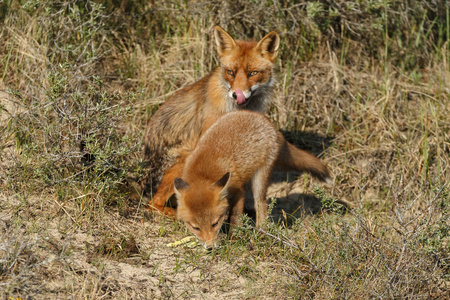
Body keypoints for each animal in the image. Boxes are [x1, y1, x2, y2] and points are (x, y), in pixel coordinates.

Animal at [172, 111, 326, 250]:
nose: (210, 248)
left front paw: (233, 240)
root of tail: (267, 121)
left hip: (259, 178)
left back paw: (261, 234)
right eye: (195, 228)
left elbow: (235, 217)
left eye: (214, 224)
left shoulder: (238, 190)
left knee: (261, 206)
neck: (203, 173)